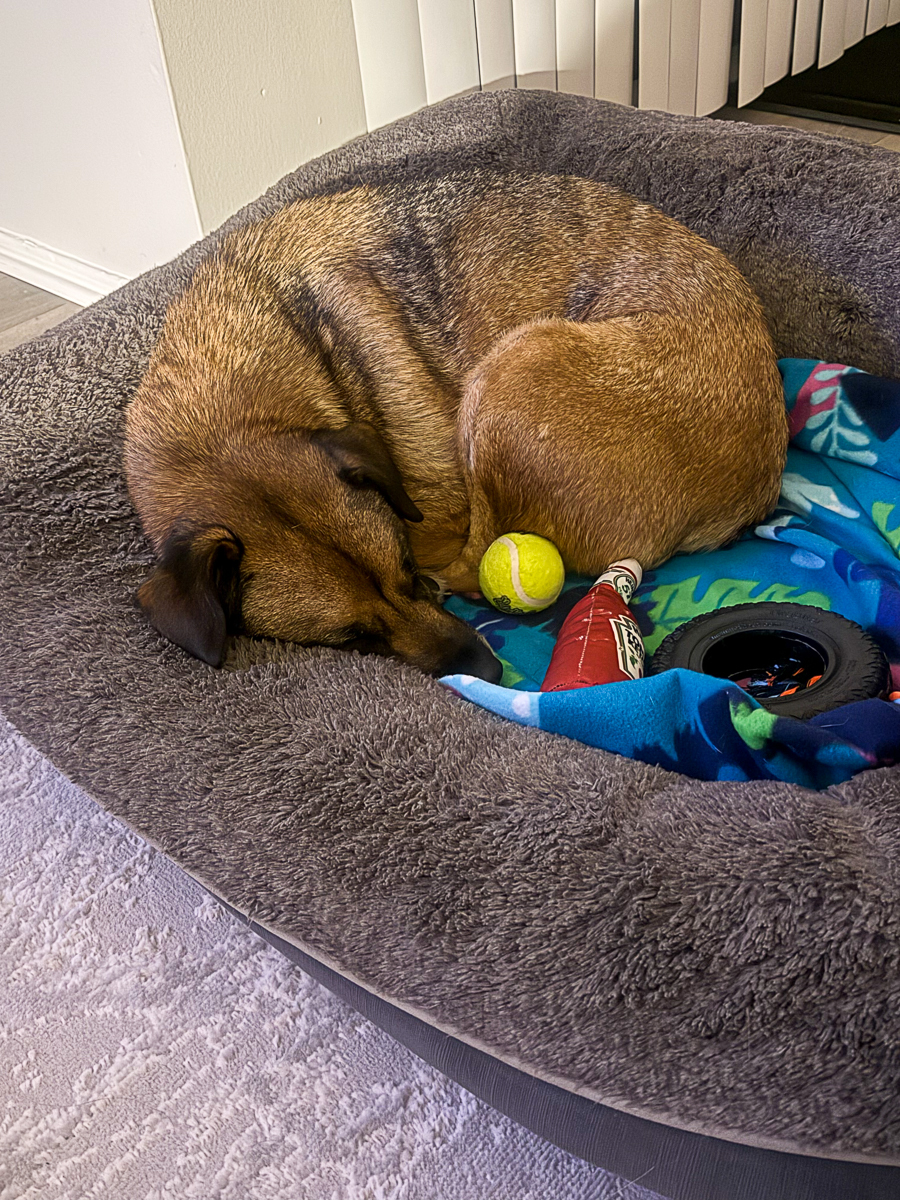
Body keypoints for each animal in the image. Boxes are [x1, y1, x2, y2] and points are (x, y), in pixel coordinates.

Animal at [124, 171, 788, 682]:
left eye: (405, 571)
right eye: (351, 638)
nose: (489, 670)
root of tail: (758, 484)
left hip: (512, 370)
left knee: (478, 559)